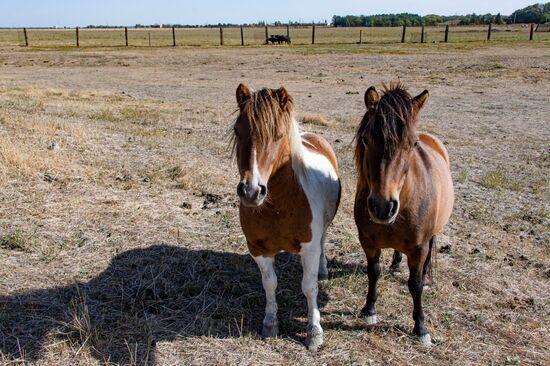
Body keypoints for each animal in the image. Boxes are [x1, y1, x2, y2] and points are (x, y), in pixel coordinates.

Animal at [232, 84, 340, 350]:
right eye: (237, 130)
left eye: (279, 135)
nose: (251, 191)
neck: (279, 207)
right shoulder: (258, 249)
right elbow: (270, 284)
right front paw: (270, 323)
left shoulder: (309, 248)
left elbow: (309, 288)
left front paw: (314, 332)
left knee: (323, 242)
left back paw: (323, 269)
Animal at [356, 83, 454, 346]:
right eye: (367, 139)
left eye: (412, 143)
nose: (382, 206)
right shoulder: (368, 242)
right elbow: (374, 272)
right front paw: (369, 309)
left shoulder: (418, 248)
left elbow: (415, 285)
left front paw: (420, 327)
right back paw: (396, 264)